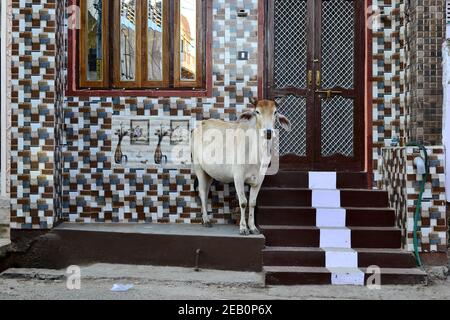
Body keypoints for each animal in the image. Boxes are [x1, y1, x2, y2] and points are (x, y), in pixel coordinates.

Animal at [191, 97, 292, 235]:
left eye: (275, 112)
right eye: (257, 112)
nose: (268, 132)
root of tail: (202, 123)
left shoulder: (259, 180)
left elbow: (252, 203)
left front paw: (253, 227)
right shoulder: (238, 177)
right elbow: (243, 202)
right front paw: (243, 228)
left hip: (209, 172)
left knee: (206, 192)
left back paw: (204, 218)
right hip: (199, 168)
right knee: (201, 191)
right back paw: (206, 220)